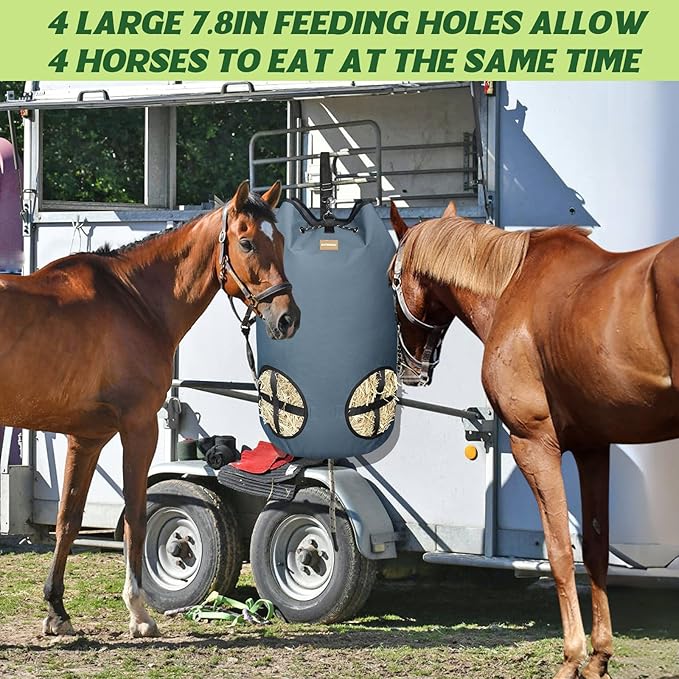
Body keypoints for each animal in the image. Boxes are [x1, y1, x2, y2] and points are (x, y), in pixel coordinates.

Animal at [0, 180, 299, 639]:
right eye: (247, 241)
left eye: (280, 241)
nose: (287, 318)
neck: (134, 300)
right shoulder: (140, 429)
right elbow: (136, 517)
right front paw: (139, 613)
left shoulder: (86, 438)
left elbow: (69, 519)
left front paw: (56, 610)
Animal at [388, 200, 679, 679]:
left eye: (390, 278)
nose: (409, 369)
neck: (512, 286)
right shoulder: (593, 448)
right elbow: (595, 550)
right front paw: (598, 656)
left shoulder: (534, 444)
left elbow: (559, 551)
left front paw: (571, 658)